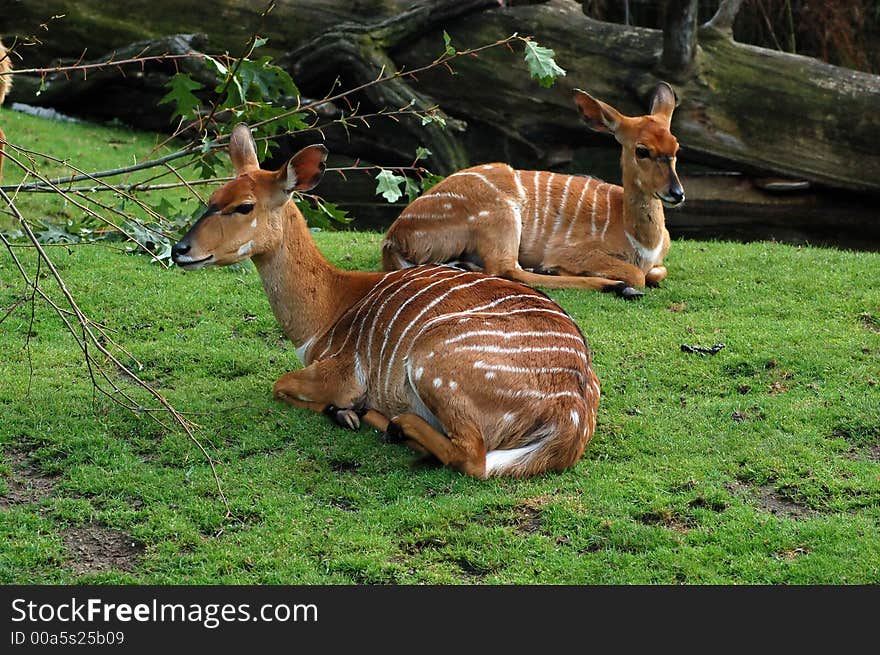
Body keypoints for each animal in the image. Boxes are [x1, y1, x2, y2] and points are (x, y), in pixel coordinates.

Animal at [171, 123, 600, 480]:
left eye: (244, 205)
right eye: (212, 197)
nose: (179, 250)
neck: (327, 312)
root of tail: (570, 413)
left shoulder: (343, 373)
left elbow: (281, 384)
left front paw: (345, 412)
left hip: (432, 362)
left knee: (472, 456)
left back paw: (395, 426)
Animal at [382, 82, 684, 300]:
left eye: (676, 147)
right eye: (642, 150)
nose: (677, 193)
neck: (642, 242)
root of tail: (395, 239)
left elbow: (658, 273)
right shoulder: (573, 251)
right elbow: (637, 275)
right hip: (501, 218)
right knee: (506, 269)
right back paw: (613, 286)